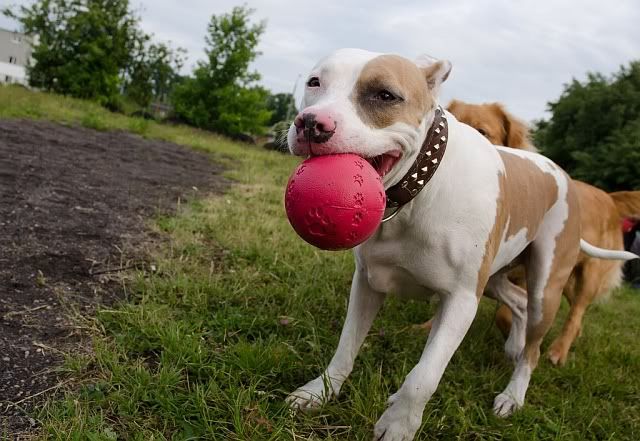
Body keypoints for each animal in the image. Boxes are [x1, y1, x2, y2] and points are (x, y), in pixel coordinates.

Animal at [445, 99, 640, 365]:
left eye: (482, 131)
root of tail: (609, 197)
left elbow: (506, 315)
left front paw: (517, 345)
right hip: (565, 277)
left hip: (586, 275)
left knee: (576, 312)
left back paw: (558, 351)